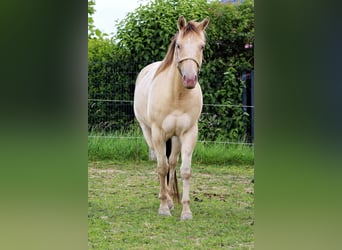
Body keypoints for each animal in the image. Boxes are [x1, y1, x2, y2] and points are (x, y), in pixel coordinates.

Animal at [133, 15, 208, 220]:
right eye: (179, 45)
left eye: (202, 46)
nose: (189, 79)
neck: (177, 96)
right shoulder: (158, 134)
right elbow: (161, 168)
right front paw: (163, 208)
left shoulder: (189, 133)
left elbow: (185, 170)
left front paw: (186, 211)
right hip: (149, 133)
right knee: (163, 164)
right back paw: (165, 199)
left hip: (175, 137)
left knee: (173, 163)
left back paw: (171, 199)